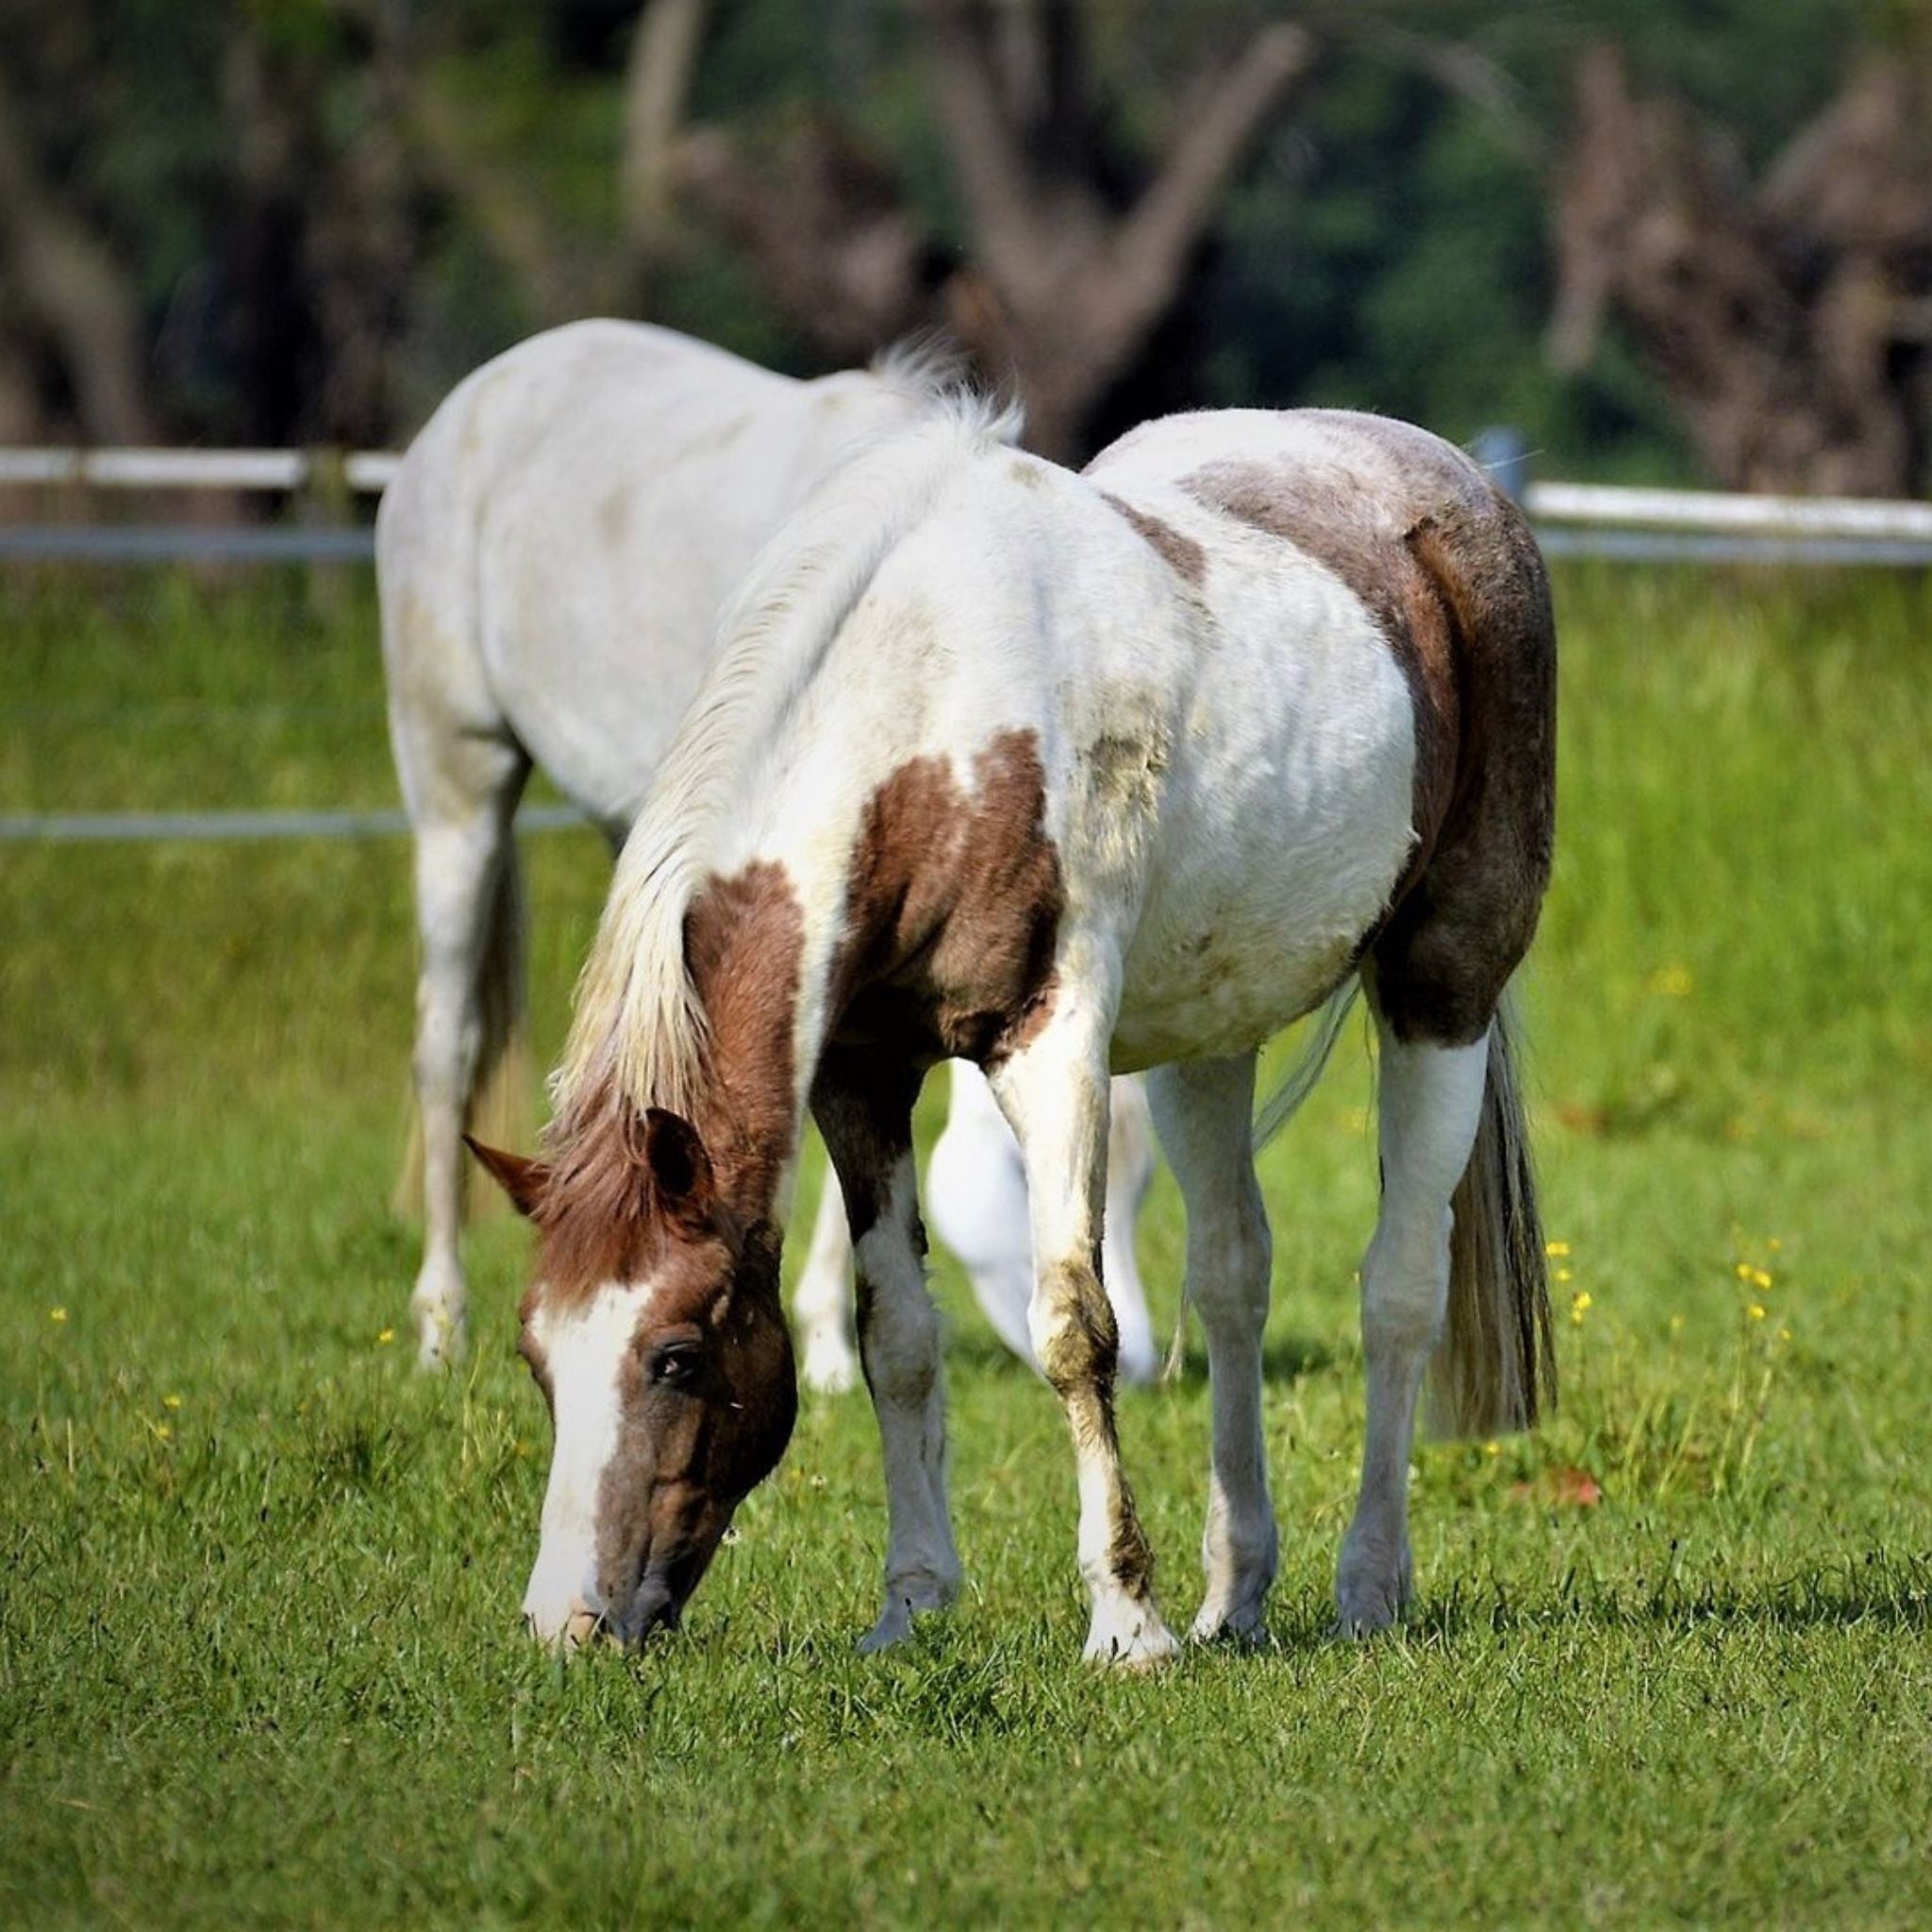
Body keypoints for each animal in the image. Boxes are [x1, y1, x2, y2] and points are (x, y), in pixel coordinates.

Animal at [382, 328, 1151, 1391]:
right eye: (1008, 1175)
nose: (1155, 1367)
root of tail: (469, 403)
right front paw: (828, 1348)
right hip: (458, 790)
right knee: (444, 1046)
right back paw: (438, 1326)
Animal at [475, 388, 1560, 1661]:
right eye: (535, 1353)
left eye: (678, 1354)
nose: (567, 1622)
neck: (938, 728)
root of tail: (1448, 476)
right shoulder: (859, 1072)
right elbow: (895, 1334)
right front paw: (909, 1604)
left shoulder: (1051, 1048)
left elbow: (1070, 1324)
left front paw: (1125, 1623)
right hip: (1209, 1035)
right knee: (1231, 1276)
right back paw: (1234, 1596)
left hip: (1443, 989)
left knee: (1397, 1283)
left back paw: (1367, 1586)